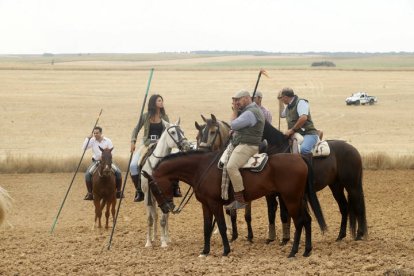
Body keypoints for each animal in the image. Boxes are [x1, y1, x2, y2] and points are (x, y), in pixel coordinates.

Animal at [139, 118, 191, 248]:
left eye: (182, 131)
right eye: (172, 132)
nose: (187, 146)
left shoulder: (167, 195)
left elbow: (163, 219)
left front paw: (163, 242)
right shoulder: (147, 196)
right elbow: (150, 219)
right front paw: (148, 242)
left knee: (165, 217)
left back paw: (166, 238)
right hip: (153, 199)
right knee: (155, 216)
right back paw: (154, 237)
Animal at [144, 150, 328, 258]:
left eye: (154, 187)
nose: (166, 208)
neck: (201, 168)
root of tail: (299, 157)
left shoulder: (215, 204)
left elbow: (221, 226)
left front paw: (225, 251)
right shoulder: (205, 204)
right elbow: (206, 227)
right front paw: (205, 251)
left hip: (291, 199)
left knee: (300, 221)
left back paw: (293, 252)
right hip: (299, 198)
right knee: (307, 220)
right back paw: (306, 251)